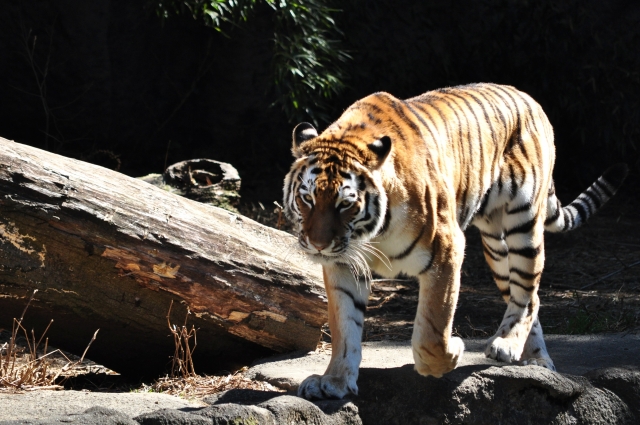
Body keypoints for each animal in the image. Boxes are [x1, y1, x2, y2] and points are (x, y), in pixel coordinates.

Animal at [282, 83, 628, 400]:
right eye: (307, 199)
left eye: (345, 203)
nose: (318, 245)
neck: (369, 234)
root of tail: (529, 99)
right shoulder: (344, 263)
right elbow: (344, 327)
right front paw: (335, 381)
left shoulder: (446, 250)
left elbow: (432, 329)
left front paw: (448, 356)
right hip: (495, 247)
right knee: (532, 297)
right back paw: (536, 361)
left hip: (524, 224)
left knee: (527, 293)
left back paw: (508, 345)